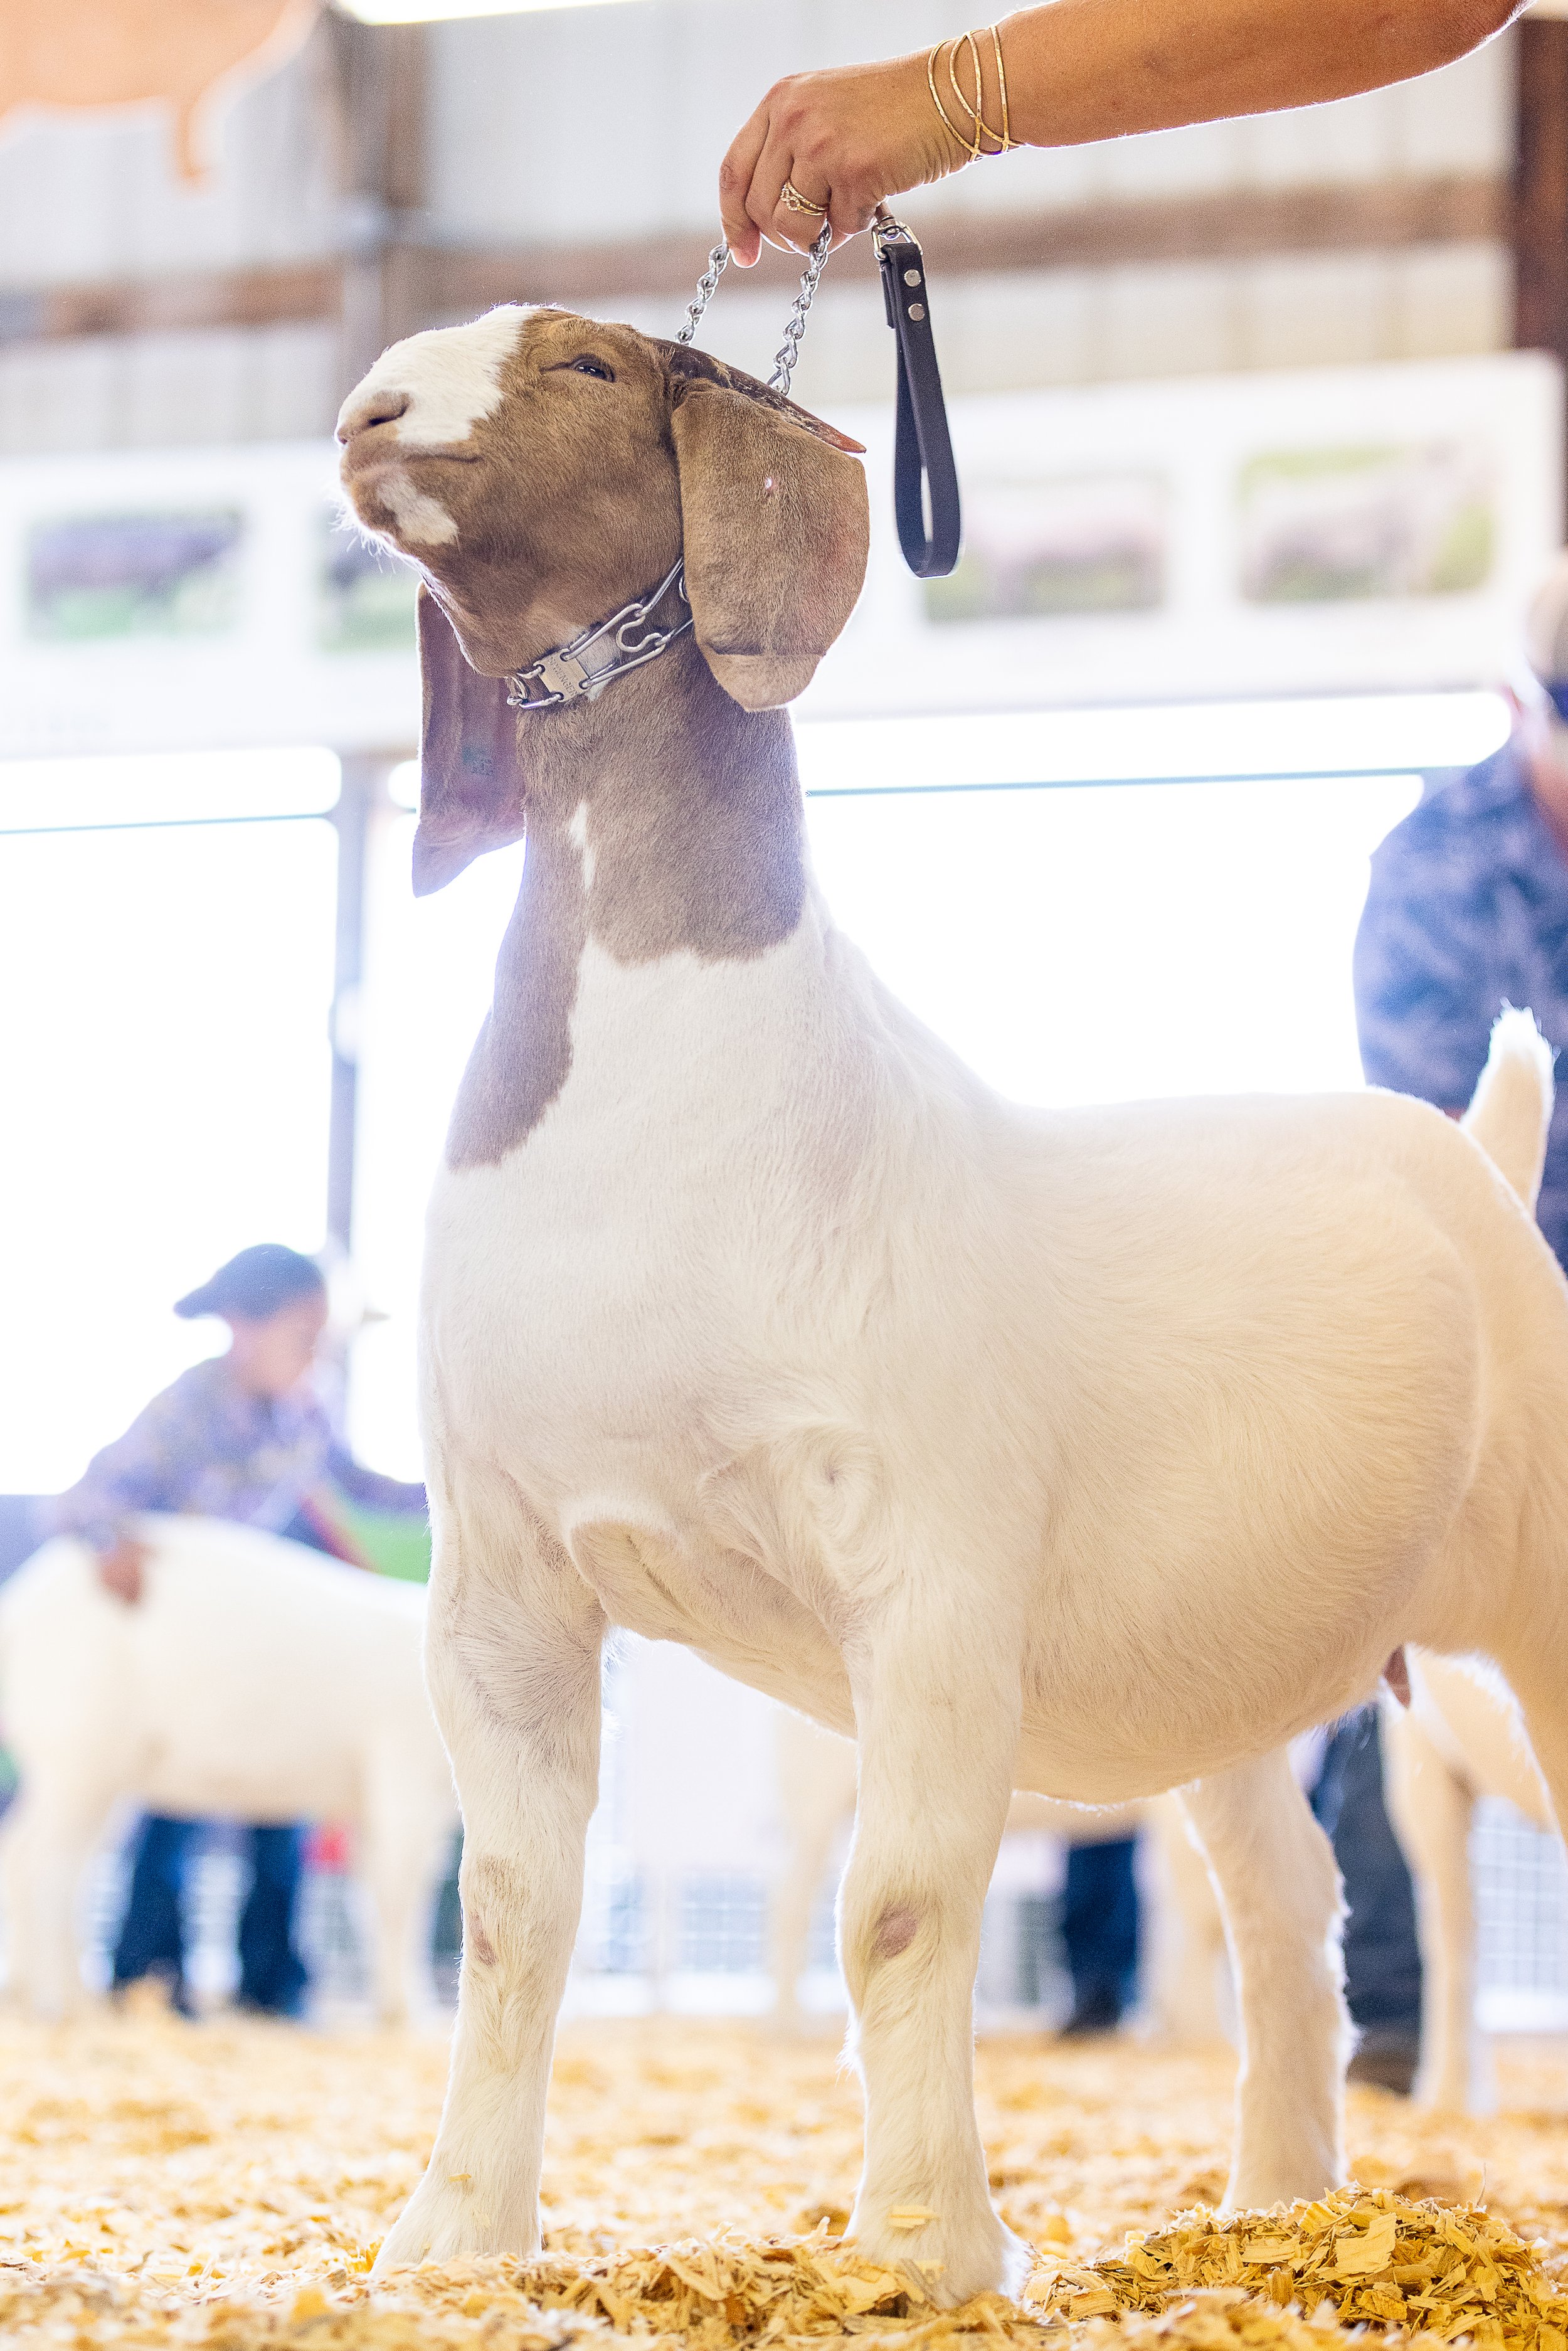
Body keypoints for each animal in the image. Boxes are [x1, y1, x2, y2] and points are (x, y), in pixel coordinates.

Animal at [336, 305, 1568, 2303]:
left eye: (589, 366)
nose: (370, 411)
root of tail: (1472, 1151)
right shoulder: (502, 1586)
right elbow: (511, 1908)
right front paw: (453, 2237)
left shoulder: (928, 1583)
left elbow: (903, 1911)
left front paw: (921, 2250)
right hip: (1241, 1672)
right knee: (1286, 1905)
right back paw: (1275, 2207)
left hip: (1525, 1595)